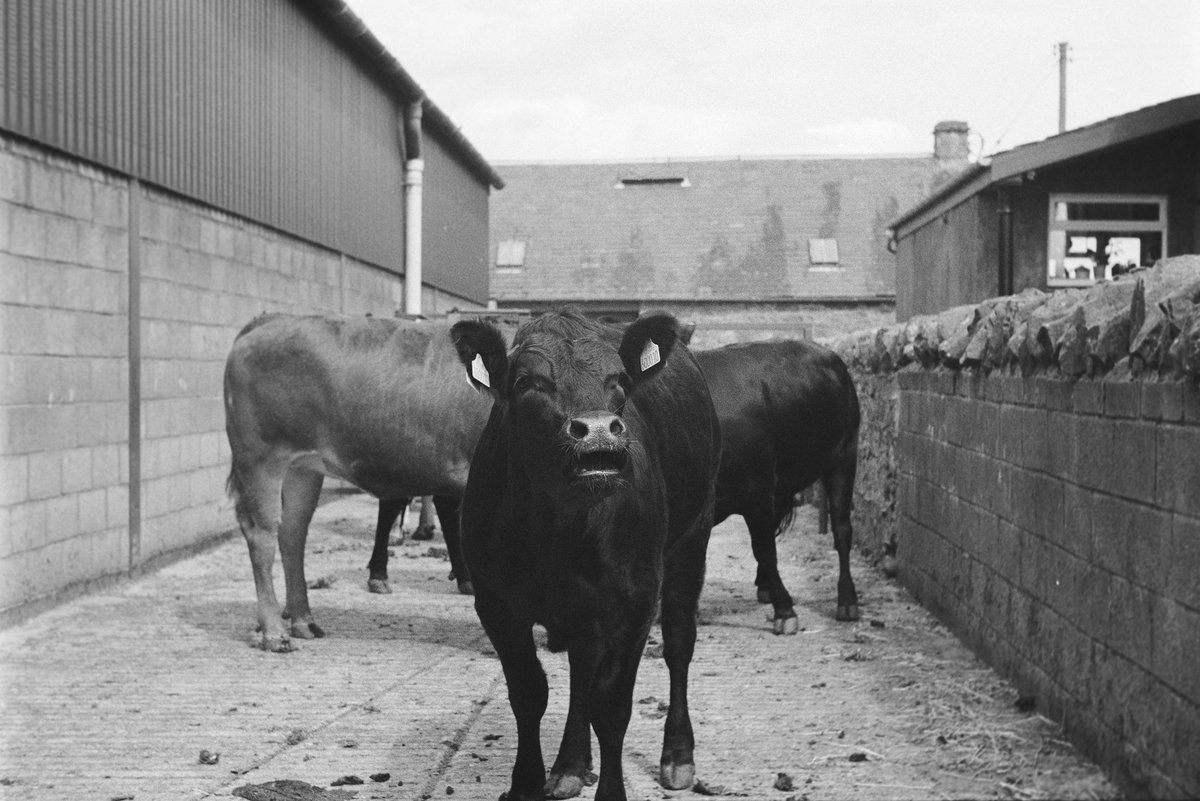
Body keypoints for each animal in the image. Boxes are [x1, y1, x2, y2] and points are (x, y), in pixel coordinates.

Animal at [223, 313, 489, 652]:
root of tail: (272, 319)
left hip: (303, 468)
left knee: (293, 532)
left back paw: (303, 621)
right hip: (262, 459)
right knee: (263, 535)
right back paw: (274, 633)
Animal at [450, 310, 720, 801]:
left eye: (620, 381)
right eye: (526, 382)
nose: (597, 428)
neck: (557, 533)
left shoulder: (635, 599)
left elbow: (610, 705)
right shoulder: (496, 602)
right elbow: (529, 692)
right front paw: (526, 784)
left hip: (693, 537)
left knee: (678, 645)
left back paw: (677, 755)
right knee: (582, 665)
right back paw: (571, 764)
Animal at [694, 339, 861, 633]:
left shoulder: (756, 489)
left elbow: (764, 548)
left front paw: (785, 610)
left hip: (844, 457)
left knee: (841, 529)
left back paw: (847, 601)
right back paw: (765, 587)